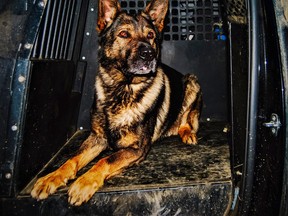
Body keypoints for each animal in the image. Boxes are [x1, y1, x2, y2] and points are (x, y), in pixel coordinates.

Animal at [31, 0, 201, 206]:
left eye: (150, 36)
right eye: (124, 34)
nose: (150, 54)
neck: (122, 89)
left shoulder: (137, 149)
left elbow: (105, 160)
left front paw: (84, 182)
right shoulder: (97, 138)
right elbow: (72, 159)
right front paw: (52, 177)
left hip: (192, 82)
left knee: (186, 118)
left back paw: (187, 132)